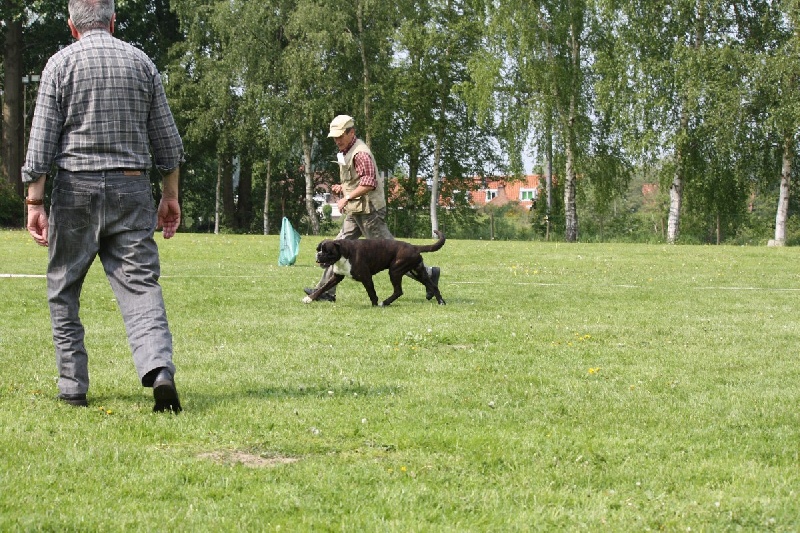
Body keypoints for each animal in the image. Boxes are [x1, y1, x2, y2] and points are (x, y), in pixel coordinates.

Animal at [304, 230, 446, 308]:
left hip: (395, 271)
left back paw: (384, 303)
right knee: (433, 286)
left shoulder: (366, 277)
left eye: (327, 251)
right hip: (417, 272)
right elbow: (323, 288)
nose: (318, 255)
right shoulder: (336, 277)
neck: (344, 252)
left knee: (398, 291)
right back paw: (441, 302)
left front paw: (374, 305)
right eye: (318, 249)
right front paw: (310, 298)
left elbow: (371, 292)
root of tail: (414, 247)